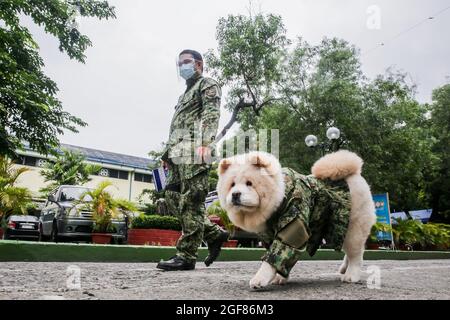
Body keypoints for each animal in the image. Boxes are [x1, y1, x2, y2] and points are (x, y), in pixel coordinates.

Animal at [217, 151, 376, 290]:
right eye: (232, 185)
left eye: (250, 183)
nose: (235, 194)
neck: (281, 197)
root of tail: (355, 175)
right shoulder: (271, 235)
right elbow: (280, 259)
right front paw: (280, 278)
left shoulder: (293, 225)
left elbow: (273, 258)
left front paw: (259, 279)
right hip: (340, 229)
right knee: (350, 251)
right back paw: (344, 268)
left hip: (354, 227)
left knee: (356, 253)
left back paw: (351, 275)